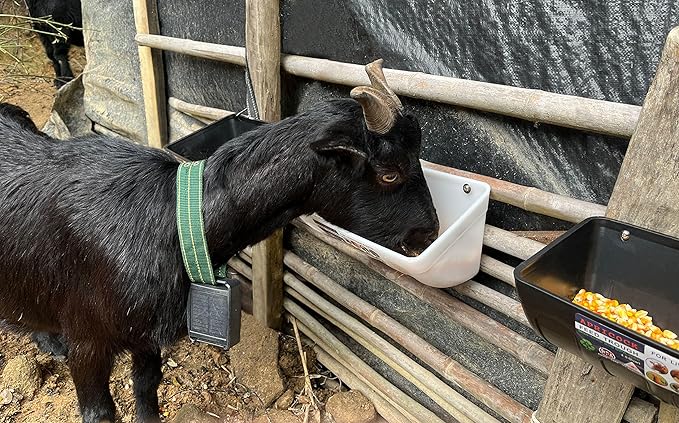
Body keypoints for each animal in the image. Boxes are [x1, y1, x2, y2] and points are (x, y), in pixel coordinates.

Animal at [0, 60, 438, 422]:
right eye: (389, 173)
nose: (428, 232)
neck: (173, 220)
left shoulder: (147, 335)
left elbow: (147, 389)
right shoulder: (88, 341)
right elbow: (99, 412)